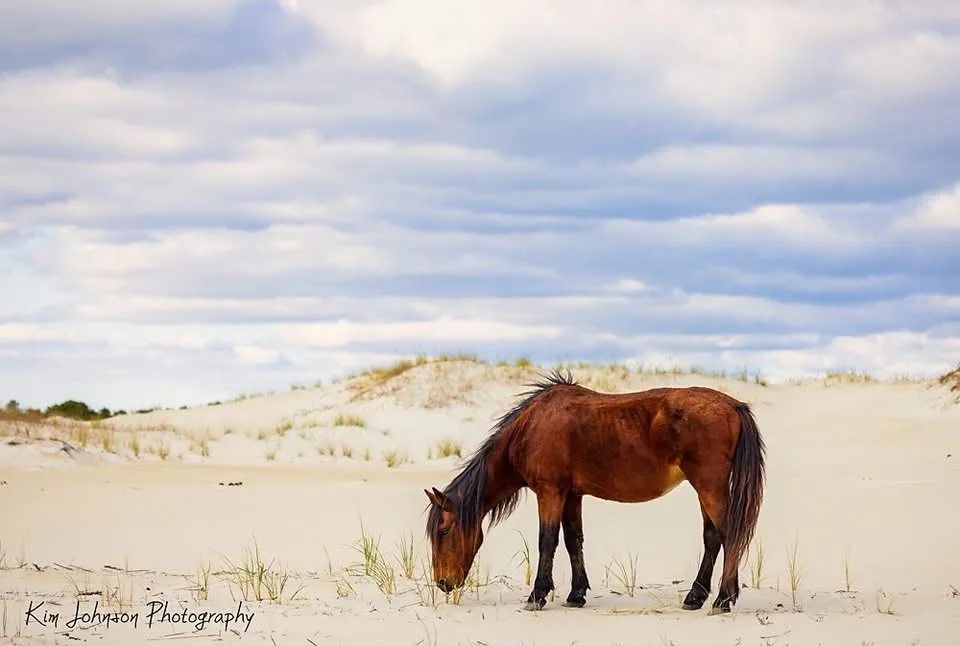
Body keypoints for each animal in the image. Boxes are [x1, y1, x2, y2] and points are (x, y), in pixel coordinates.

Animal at [424, 369, 766, 614]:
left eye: (444, 530)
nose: (442, 583)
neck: (531, 428)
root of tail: (733, 405)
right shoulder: (571, 495)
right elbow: (573, 540)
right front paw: (576, 595)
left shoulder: (549, 491)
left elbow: (547, 540)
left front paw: (537, 595)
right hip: (706, 489)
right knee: (713, 537)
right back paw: (696, 597)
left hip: (709, 486)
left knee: (729, 535)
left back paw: (723, 599)